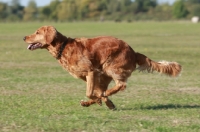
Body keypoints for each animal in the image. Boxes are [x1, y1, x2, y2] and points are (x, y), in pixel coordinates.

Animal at [23, 25, 181, 109]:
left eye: (37, 32)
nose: (24, 37)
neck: (63, 47)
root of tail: (133, 52)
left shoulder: (91, 71)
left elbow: (90, 92)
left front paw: (98, 99)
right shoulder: (90, 75)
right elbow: (93, 91)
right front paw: (101, 101)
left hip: (110, 68)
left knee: (120, 85)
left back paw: (103, 98)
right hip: (104, 74)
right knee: (107, 90)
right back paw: (100, 102)